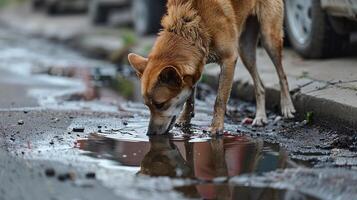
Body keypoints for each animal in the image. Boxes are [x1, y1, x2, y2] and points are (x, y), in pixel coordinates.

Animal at [128, 0, 294, 134]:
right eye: (147, 106)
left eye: (160, 104)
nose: (149, 134)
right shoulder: (195, 68)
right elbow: (190, 98)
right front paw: (185, 118)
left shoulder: (229, 60)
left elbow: (219, 100)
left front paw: (216, 127)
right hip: (245, 50)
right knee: (260, 86)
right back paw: (260, 116)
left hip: (268, 38)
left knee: (282, 75)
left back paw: (287, 107)